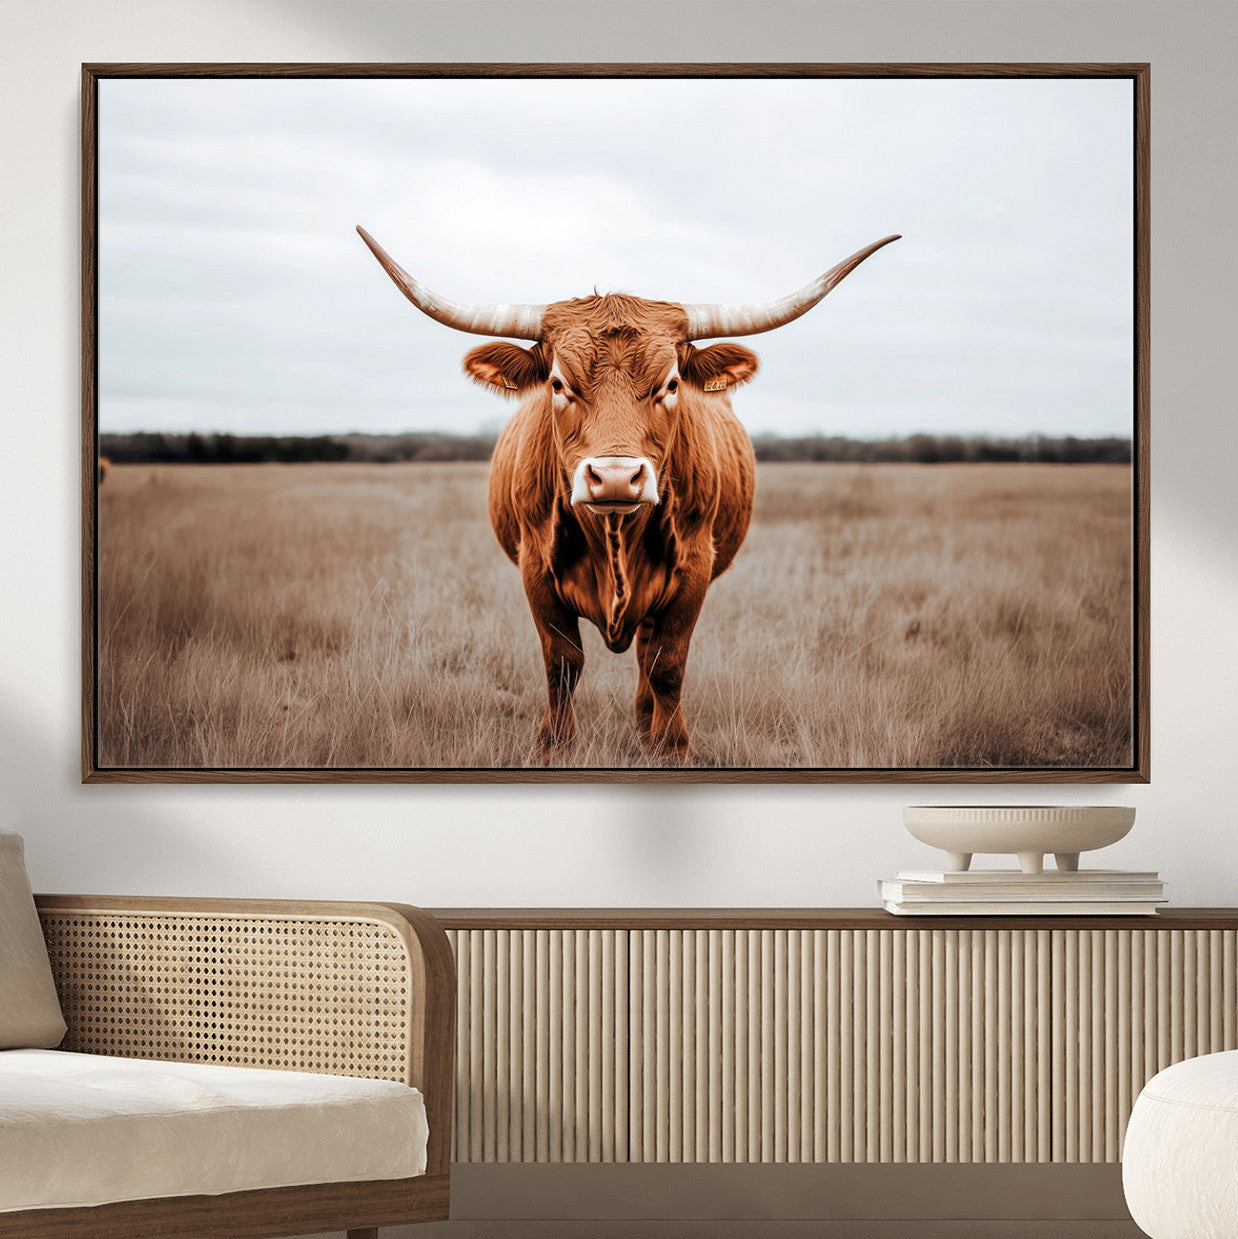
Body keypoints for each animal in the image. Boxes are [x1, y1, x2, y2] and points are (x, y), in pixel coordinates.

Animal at [358, 227, 899, 762]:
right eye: (558, 383)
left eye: (672, 384)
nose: (616, 477)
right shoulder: (535, 567)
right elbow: (563, 662)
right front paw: (555, 746)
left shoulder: (694, 569)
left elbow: (667, 664)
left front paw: (671, 747)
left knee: (646, 654)